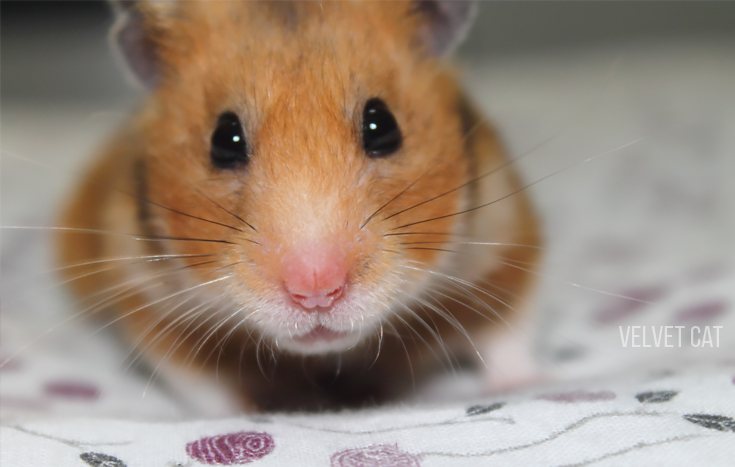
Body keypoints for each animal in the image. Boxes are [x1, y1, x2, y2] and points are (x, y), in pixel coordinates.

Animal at [57, 0, 540, 412]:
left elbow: (507, 332)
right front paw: (257, 415)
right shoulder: (145, 297)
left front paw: (525, 386)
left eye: (383, 125)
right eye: (223, 140)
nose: (316, 289)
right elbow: (205, 385)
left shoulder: (506, 241)